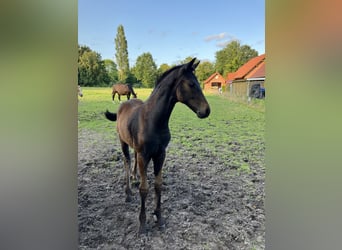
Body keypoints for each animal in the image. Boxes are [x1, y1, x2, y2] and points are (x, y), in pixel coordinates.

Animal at [105, 58, 210, 234]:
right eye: (191, 84)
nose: (206, 111)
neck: (153, 120)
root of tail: (124, 103)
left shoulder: (160, 154)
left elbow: (158, 185)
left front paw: (159, 217)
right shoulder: (145, 155)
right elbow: (144, 189)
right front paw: (142, 223)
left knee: (133, 159)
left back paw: (134, 177)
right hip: (123, 141)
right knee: (126, 161)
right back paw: (128, 192)